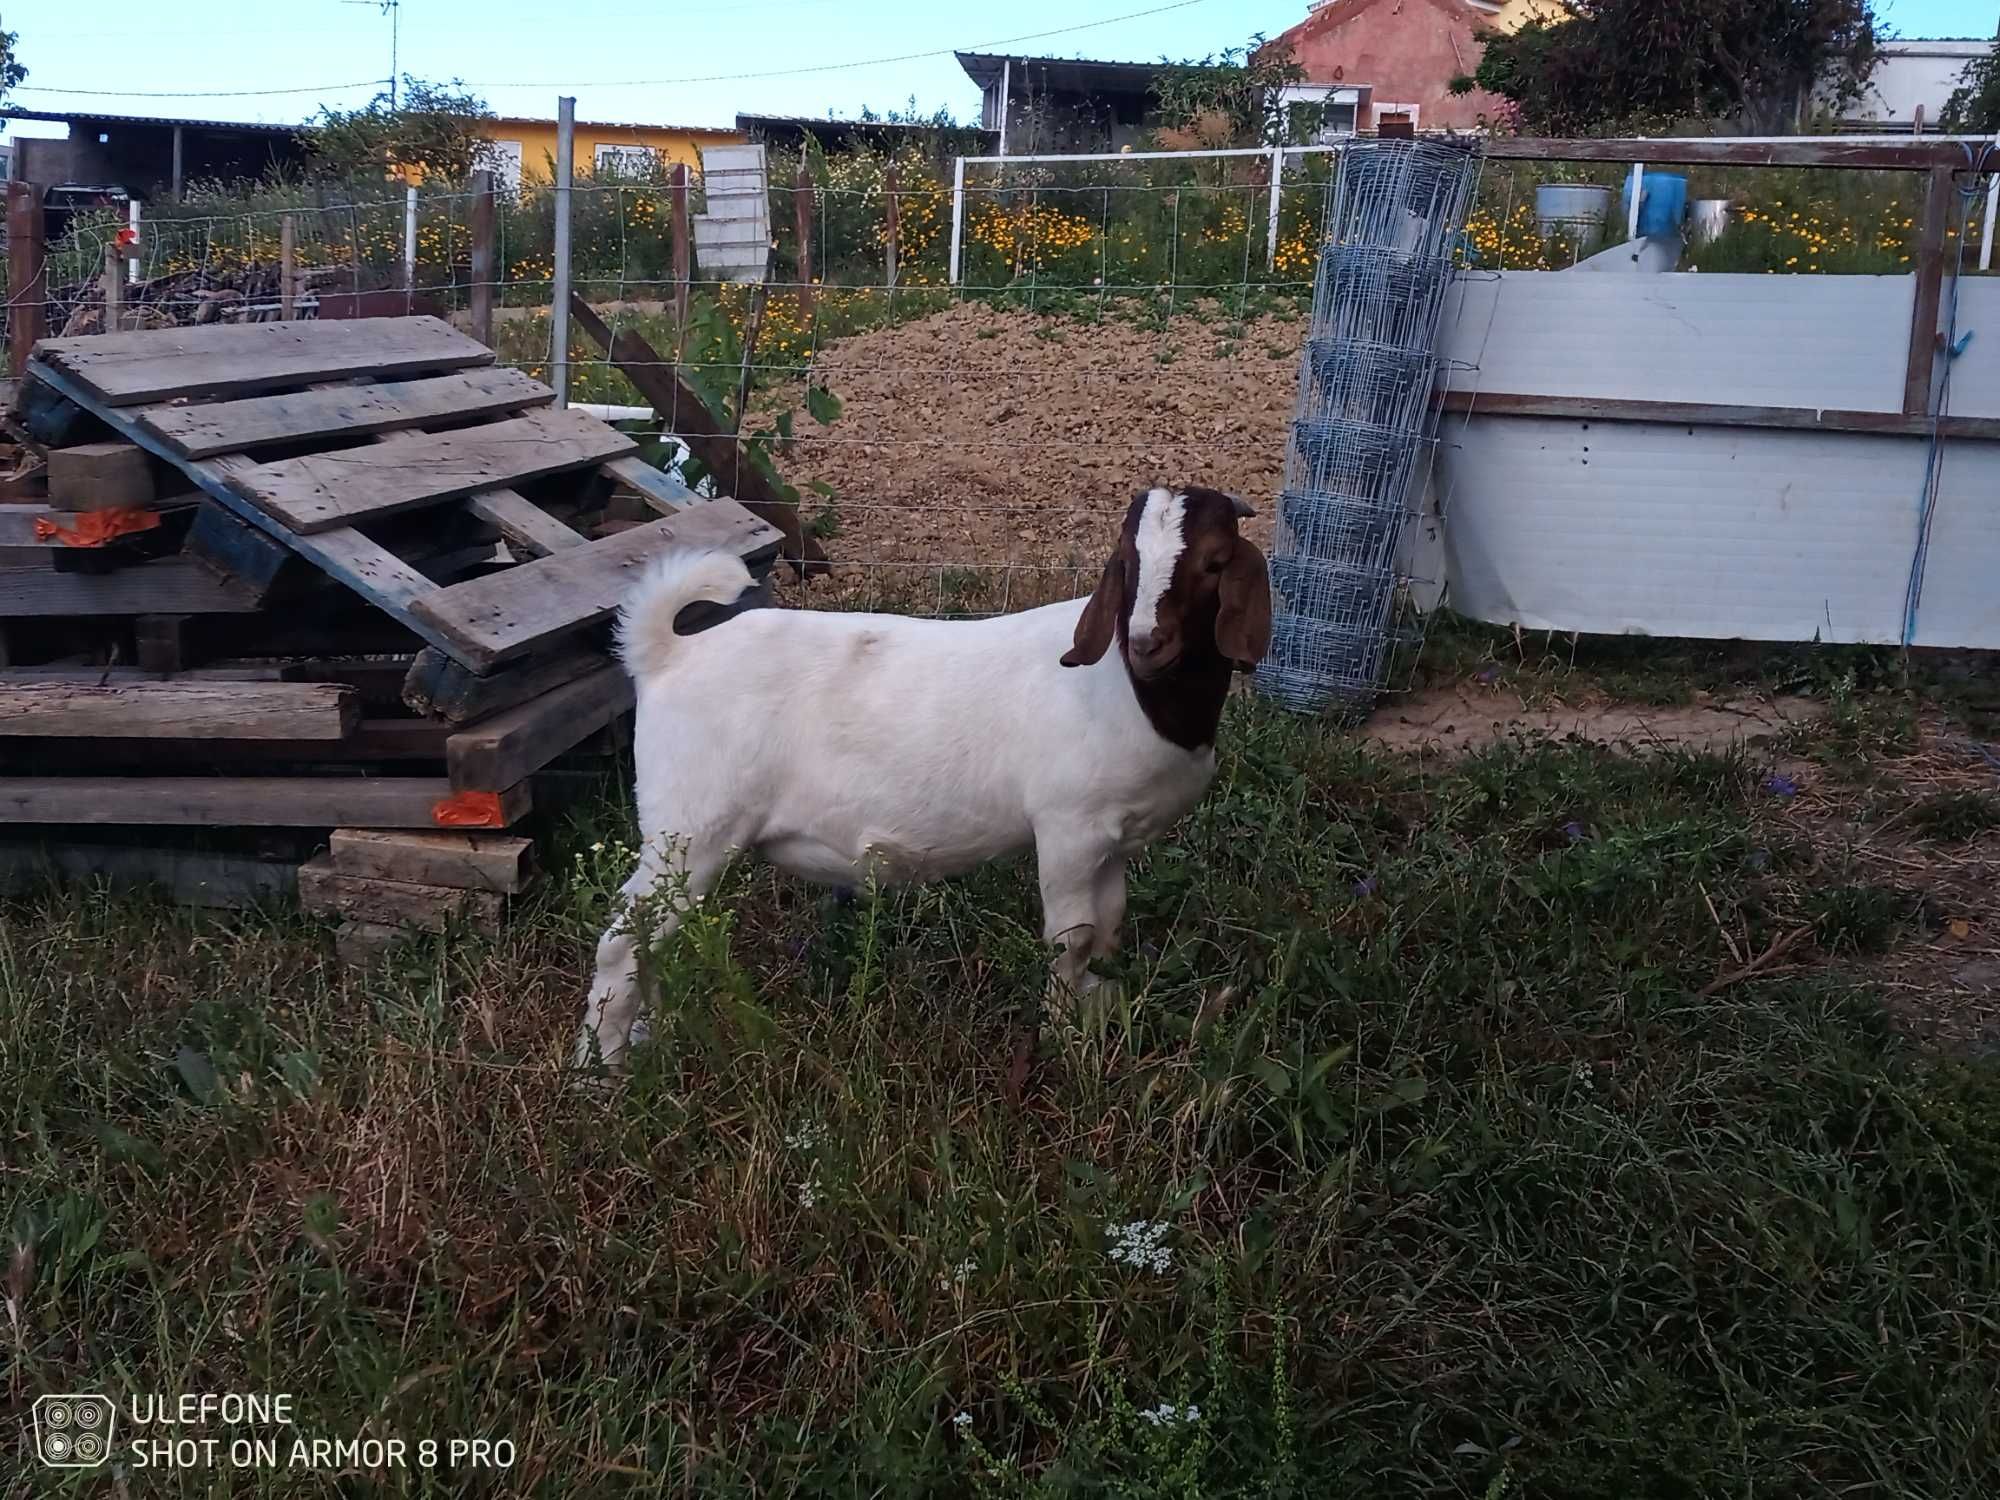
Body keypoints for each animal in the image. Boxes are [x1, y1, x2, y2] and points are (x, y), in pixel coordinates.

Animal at [572, 484, 1272, 1072]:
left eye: (1215, 561)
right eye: (1126, 563)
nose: (1147, 641)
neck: (1131, 689)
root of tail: (667, 654)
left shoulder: (1114, 840)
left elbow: (1108, 927)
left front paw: (1095, 1010)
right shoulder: (1069, 829)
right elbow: (1069, 940)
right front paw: (1062, 1039)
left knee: (651, 941)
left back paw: (648, 1039)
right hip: (690, 828)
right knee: (621, 941)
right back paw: (601, 1072)